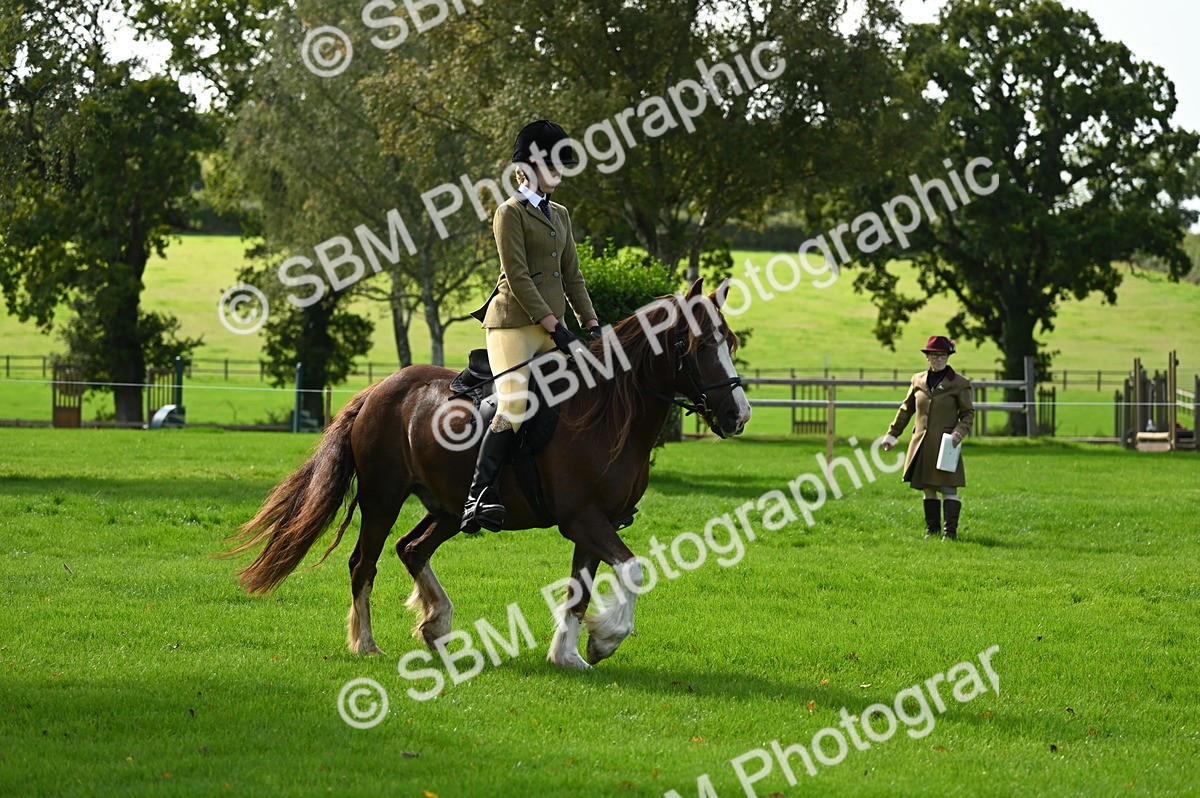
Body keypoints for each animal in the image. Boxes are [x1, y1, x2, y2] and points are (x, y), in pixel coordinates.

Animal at [227, 278, 752, 669]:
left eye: (730, 342)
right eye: (700, 344)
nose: (738, 415)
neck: (605, 412)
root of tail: (379, 389)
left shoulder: (593, 523)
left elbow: (579, 589)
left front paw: (567, 656)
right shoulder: (583, 519)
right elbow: (633, 569)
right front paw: (605, 640)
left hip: (446, 506)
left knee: (412, 549)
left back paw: (437, 627)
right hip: (383, 497)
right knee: (364, 562)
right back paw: (367, 644)